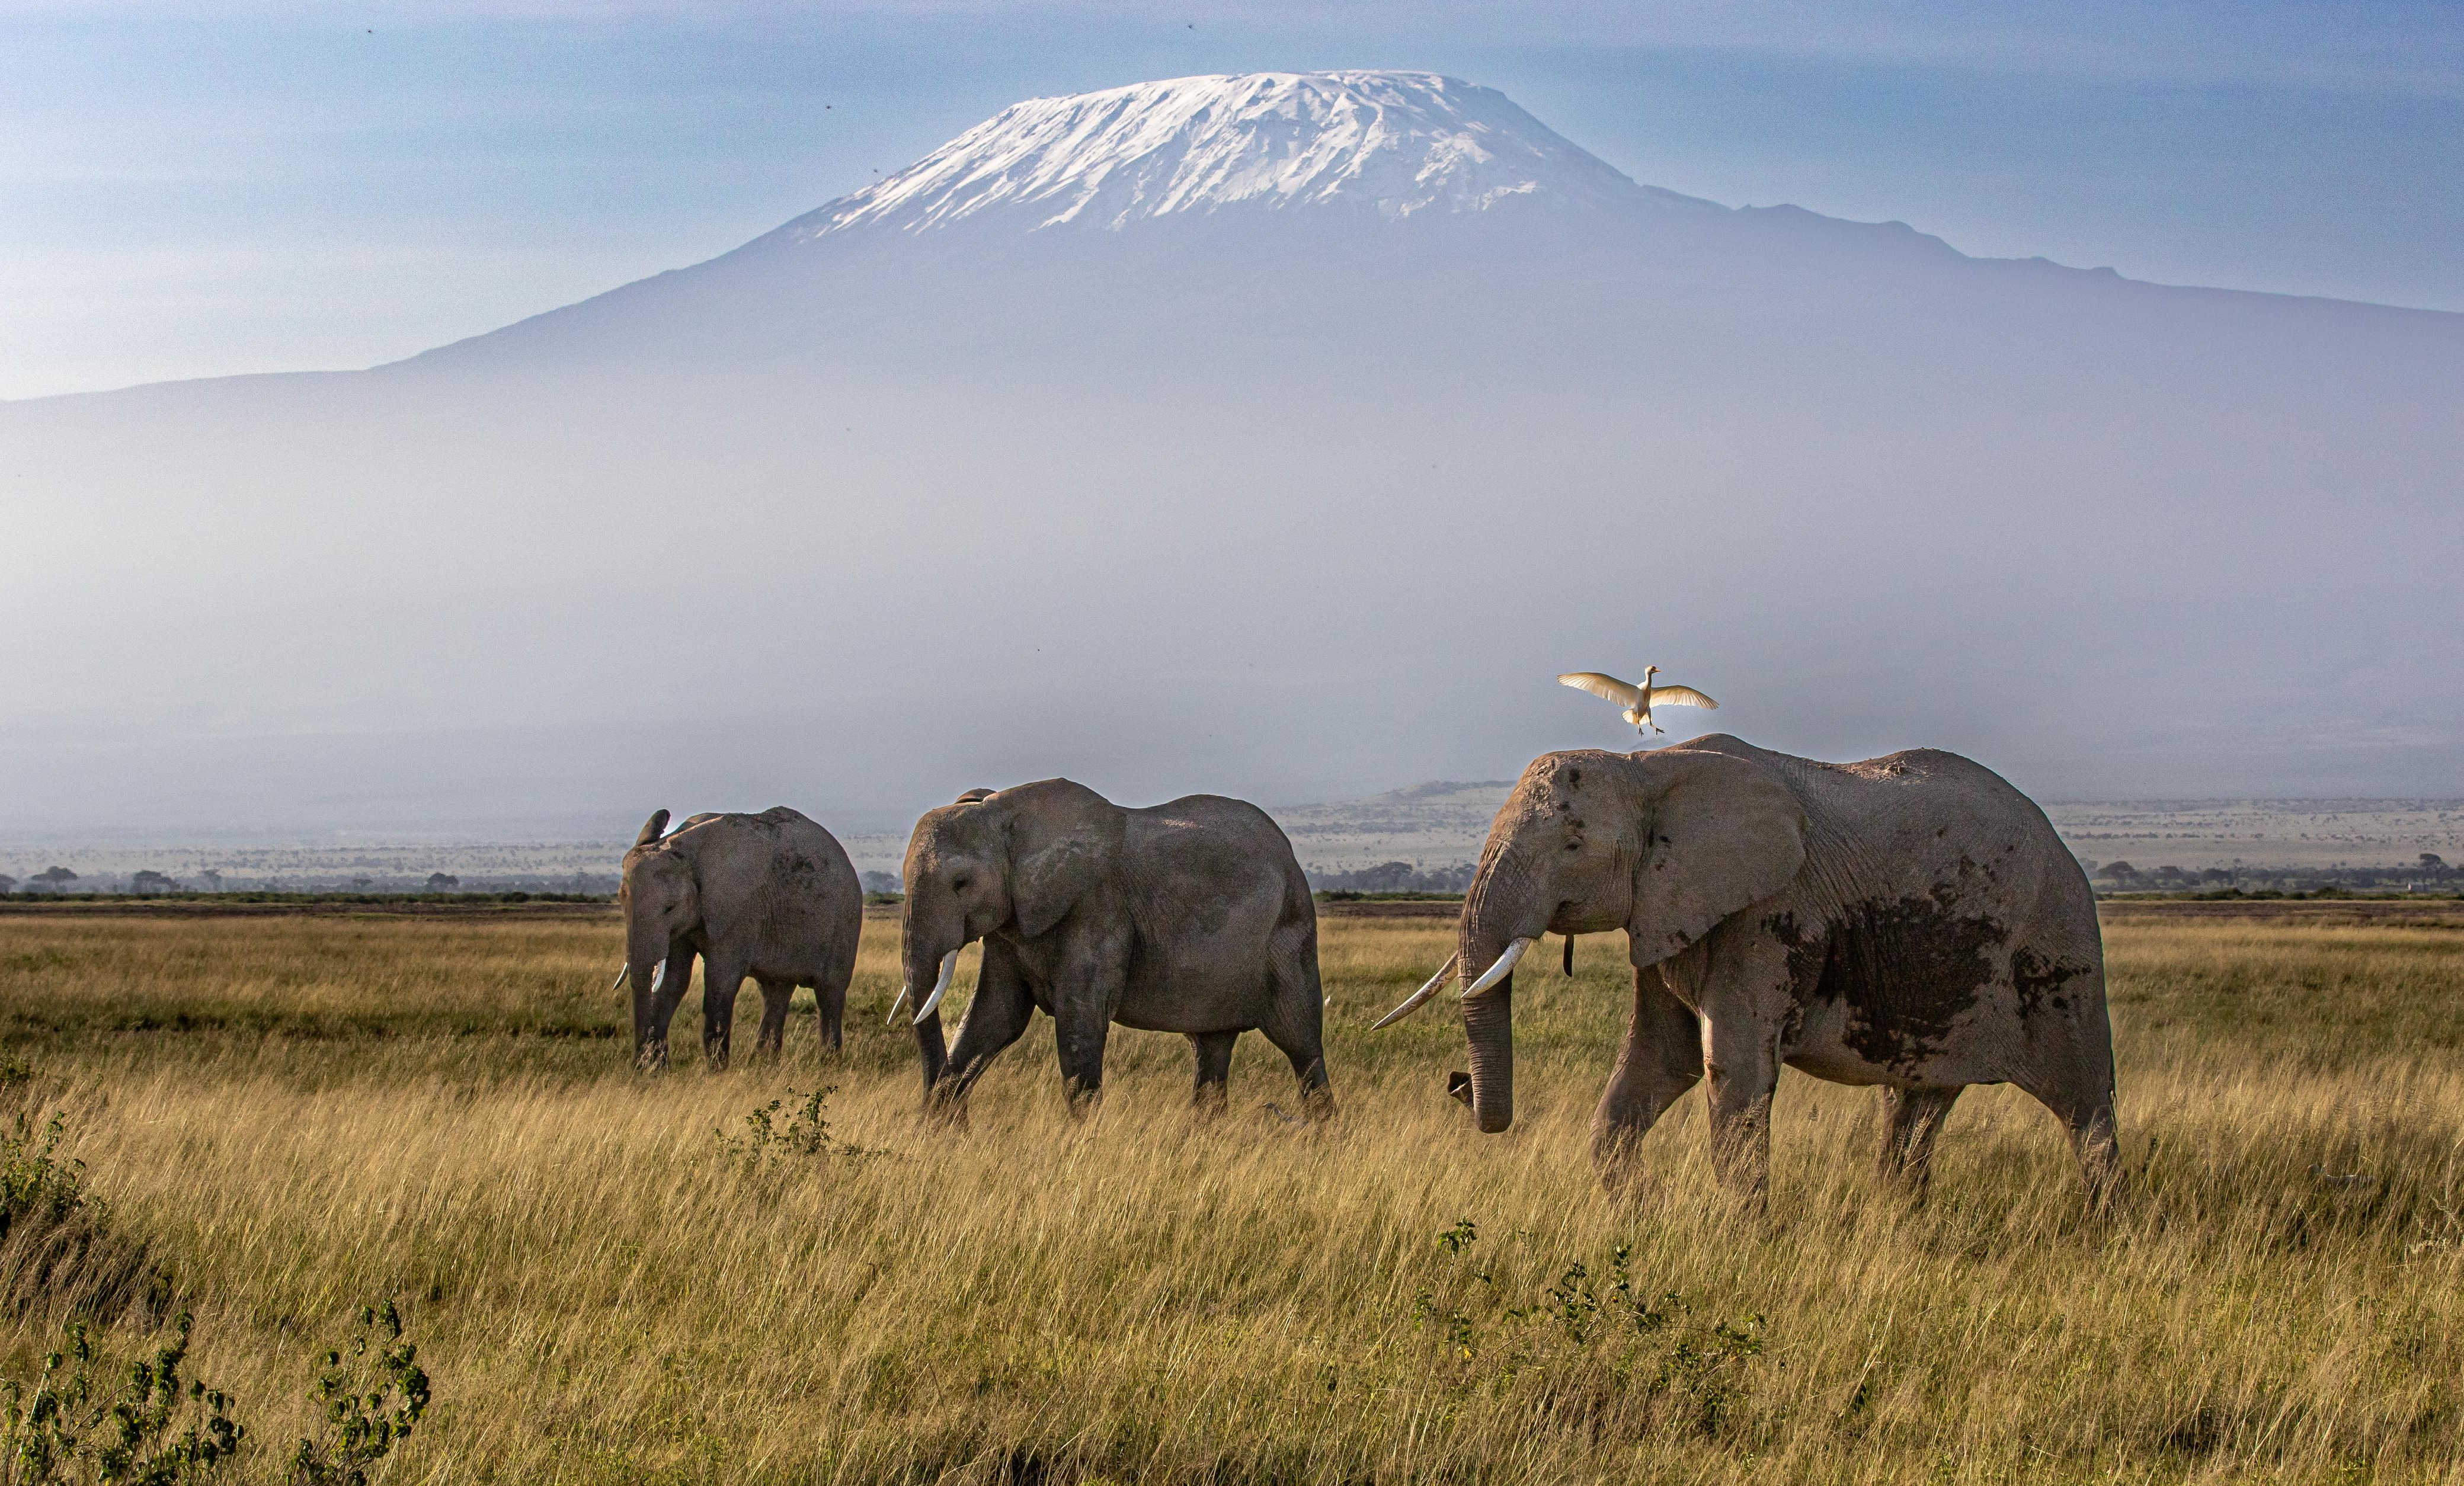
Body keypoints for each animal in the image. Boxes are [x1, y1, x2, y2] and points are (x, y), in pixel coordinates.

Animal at [616, 806, 864, 1070]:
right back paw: (765, 1063)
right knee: (776, 991)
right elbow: (674, 979)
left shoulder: (739, 913)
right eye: (621, 900)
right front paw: (654, 1070)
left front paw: (716, 1071)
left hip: (844, 923)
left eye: (670, 908)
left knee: (830, 991)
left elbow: (720, 980)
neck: (685, 851)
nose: (640, 1065)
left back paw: (829, 1063)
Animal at [894, 779, 1332, 1116]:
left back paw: (1320, 1137)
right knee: (1211, 1047)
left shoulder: (1099, 908)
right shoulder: (1010, 924)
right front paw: (941, 1130)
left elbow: (1078, 1020)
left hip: (1289, 934)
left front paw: (1081, 1143)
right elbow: (995, 1016)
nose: (955, 1122)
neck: (1005, 810)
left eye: (961, 883)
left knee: (1300, 1041)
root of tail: (1290, 855)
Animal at [1379, 735, 2117, 1205]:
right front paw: (1640, 1221)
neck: (1646, 767)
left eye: (1572, 844)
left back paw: (2102, 1232)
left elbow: (1728, 1066)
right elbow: (1659, 1058)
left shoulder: (1769, 912)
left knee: (2085, 1103)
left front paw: (1741, 1244)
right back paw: (1901, 1222)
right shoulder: (1668, 910)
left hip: (2059, 947)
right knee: (1916, 1104)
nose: (1455, 1085)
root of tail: (2058, 838)